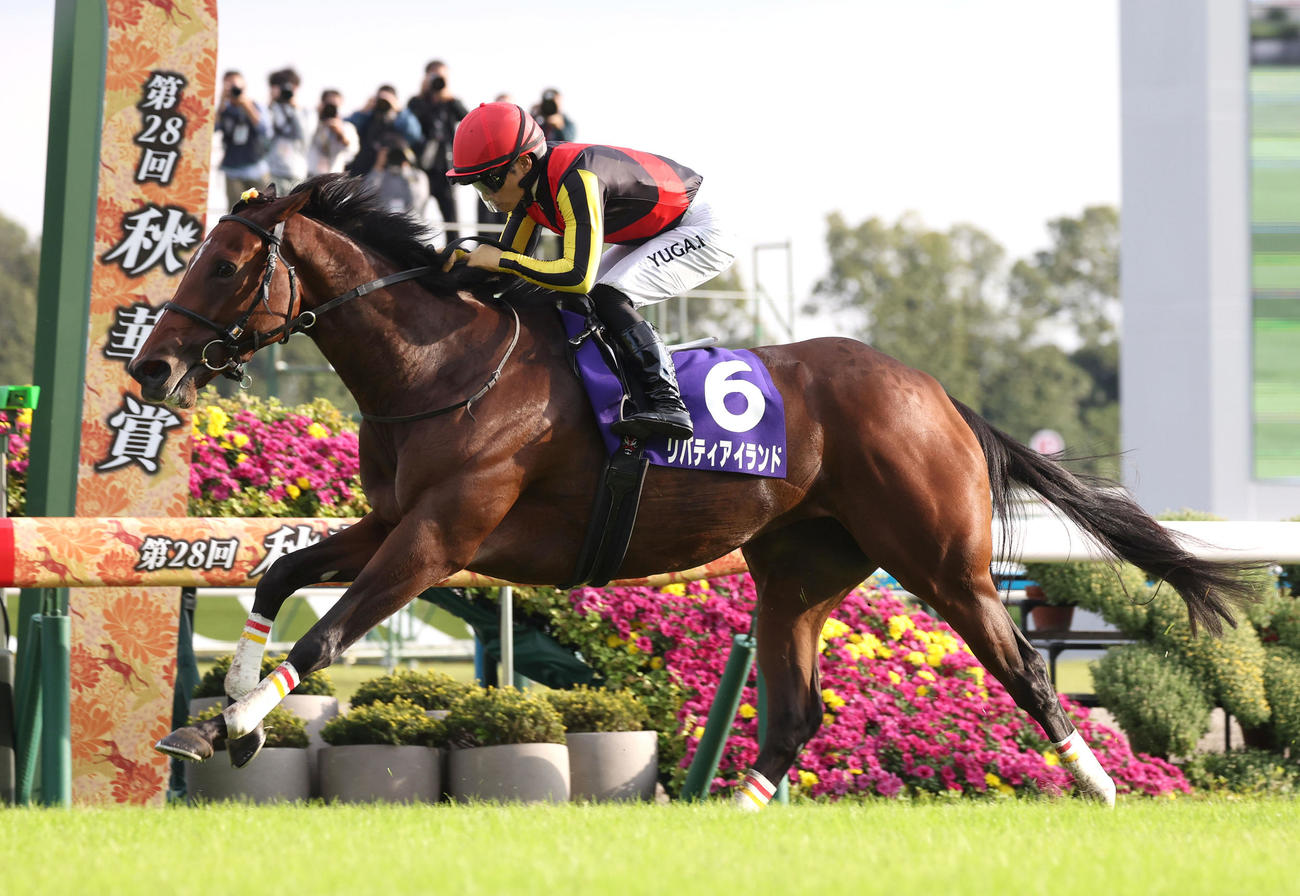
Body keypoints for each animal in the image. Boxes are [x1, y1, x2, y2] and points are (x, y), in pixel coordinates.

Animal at [131, 174, 1256, 807]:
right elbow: (279, 578)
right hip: (799, 568)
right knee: (796, 713)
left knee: (1025, 669)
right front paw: (226, 710)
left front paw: (228, 727)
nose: (151, 368)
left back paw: (1102, 789)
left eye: (224, 264)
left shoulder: (443, 535)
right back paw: (731, 818)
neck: (440, 362)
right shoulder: (393, 519)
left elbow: (327, 633)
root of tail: (937, 392)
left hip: (944, 562)